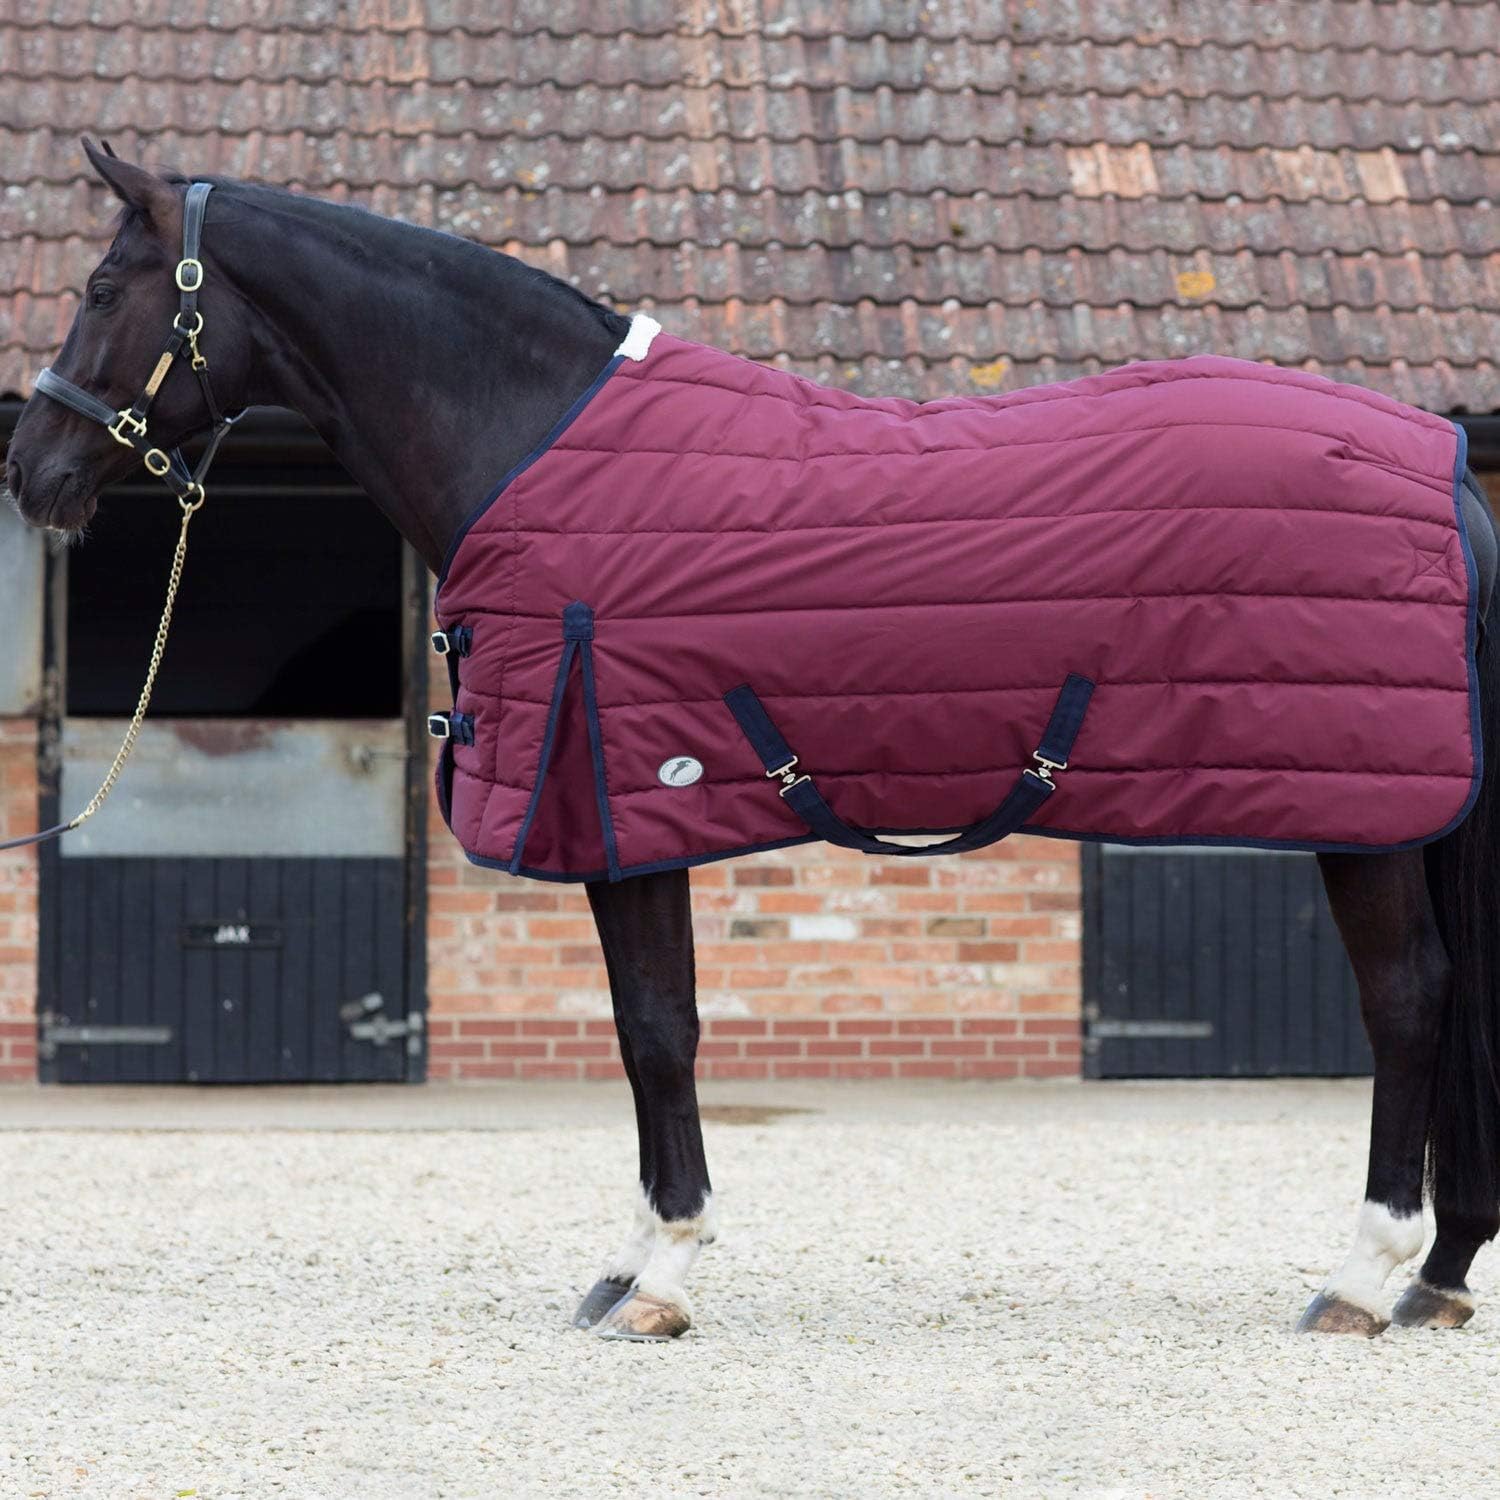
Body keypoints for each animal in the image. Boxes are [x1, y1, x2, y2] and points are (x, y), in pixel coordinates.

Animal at [6, 144, 1500, 1343]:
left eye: (100, 288)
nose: (32, 472)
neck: (525, 438)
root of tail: (1444, 467)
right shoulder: (626, 814)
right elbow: (644, 1031)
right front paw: (632, 1265)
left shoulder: (619, 806)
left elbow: (657, 1034)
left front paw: (661, 1276)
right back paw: (1439, 1275)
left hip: (1362, 817)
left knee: (1411, 1002)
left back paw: (1362, 1279)